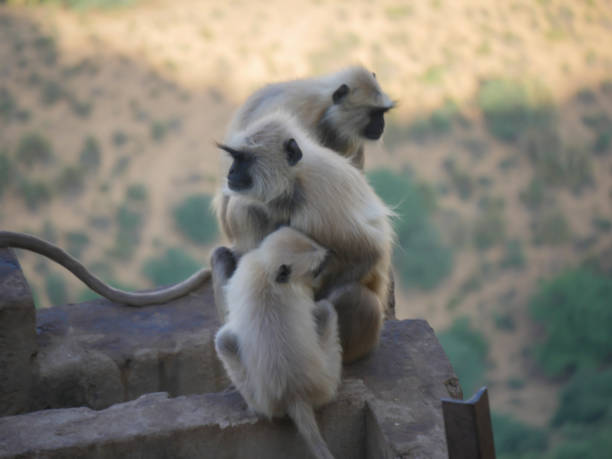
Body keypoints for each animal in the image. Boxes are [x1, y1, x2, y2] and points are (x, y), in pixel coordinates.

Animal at [210, 111, 394, 362]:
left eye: (244, 159)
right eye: (234, 158)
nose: (231, 172)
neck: (293, 182)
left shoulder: (321, 204)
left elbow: (368, 253)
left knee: (348, 293)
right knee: (226, 247)